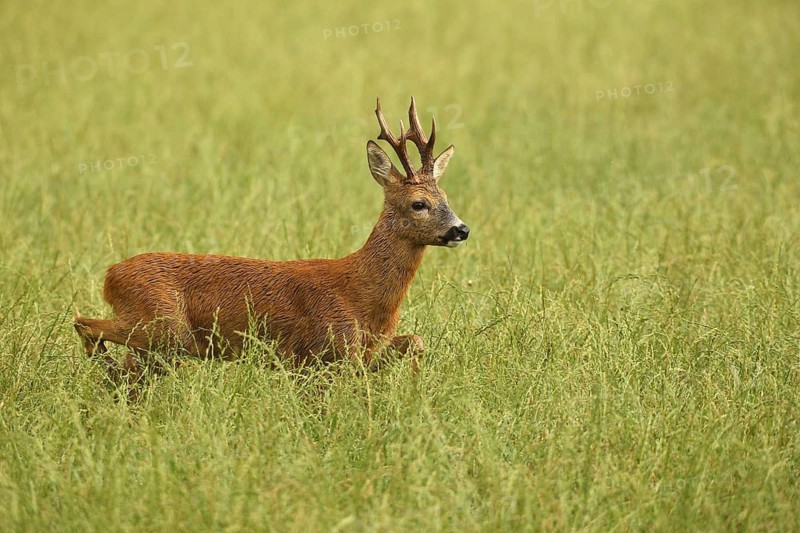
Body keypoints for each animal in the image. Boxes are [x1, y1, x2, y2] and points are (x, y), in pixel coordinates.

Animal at [74, 97, 470, 397]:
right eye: (419, 203)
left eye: (446, 198)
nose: (461, 229)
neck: (363, 294)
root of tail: (110, 276)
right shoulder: (330, 347)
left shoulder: (361, 351)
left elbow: (416, 340)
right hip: (162, 326)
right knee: (85, 324)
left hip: (158, 343)